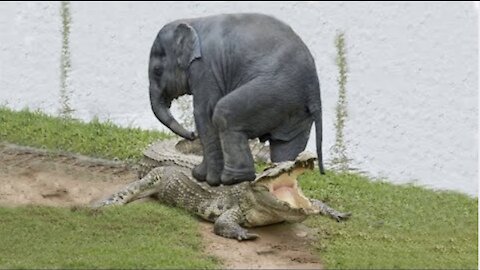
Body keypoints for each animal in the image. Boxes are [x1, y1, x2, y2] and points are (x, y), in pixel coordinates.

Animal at [148, 12, 324, 186]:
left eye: (157, 71)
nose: (192, 135)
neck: (193, 21)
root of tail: (314, 87)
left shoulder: (205, 68)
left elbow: (203, 113)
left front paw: (205, 178)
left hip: (274, 91)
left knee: (223, 115)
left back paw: (233, 179)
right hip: (296, 108)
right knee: (285, 144)